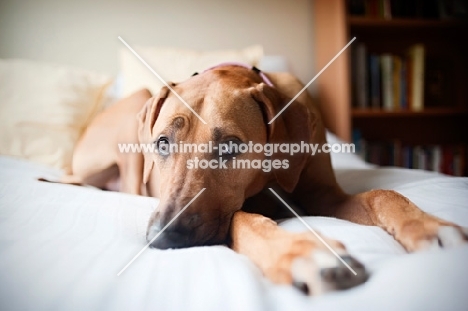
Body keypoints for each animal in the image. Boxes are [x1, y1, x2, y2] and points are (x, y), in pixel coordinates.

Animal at [64, 63, 466, 294]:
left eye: (230, 146)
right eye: (162, 143)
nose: (163, 238)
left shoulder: (323, 195)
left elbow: (380, 193)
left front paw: (428, 227)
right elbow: (245, 219)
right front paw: (304, 254)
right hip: (137, 103)